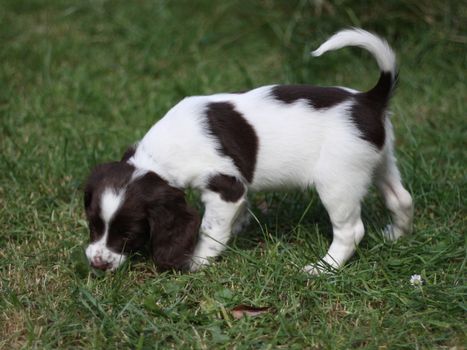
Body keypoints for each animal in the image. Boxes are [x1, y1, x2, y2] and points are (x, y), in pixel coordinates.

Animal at [83, 28, 414, 274]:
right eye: (93, 224)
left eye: (128, 234)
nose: (97, 263)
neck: (157, 157)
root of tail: (369, 100)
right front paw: (239, 227)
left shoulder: (225, 187)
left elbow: (211, 230)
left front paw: (197, 261)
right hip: (380, 162)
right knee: (401, 199)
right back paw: (395, 237)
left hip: (338, 182)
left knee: (351, 231)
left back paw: (324, 268)